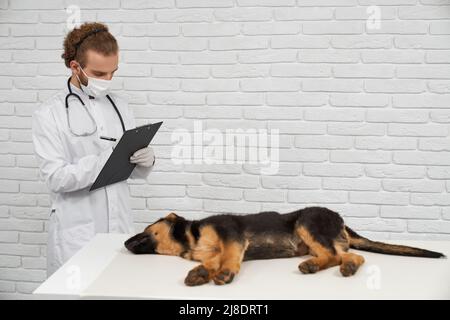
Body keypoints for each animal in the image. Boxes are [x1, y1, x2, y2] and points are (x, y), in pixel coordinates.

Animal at [123, 208, 442, 288]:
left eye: (147, 227)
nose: (125, 242)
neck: (191, 237)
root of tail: (341, 219)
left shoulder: (231, 235)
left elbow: (229, 257)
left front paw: (224, 273)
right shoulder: (213, 251)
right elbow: (212, 262)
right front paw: (202, 273)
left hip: (307, 223)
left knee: (347, 255)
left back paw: (341, 265)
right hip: (312, 241)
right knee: (338, 256)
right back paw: (317, 265)